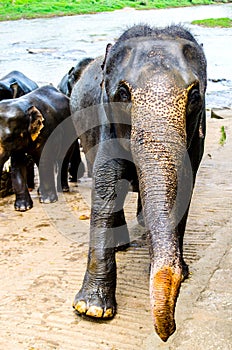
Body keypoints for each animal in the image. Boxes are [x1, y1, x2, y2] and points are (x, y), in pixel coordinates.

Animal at [70, 25, 207, 342]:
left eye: (194, 94)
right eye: (122, 93)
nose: (168, 333)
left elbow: (185, 187)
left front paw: (182, 269)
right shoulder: (105, 123)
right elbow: (106, 188)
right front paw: (91, 310)